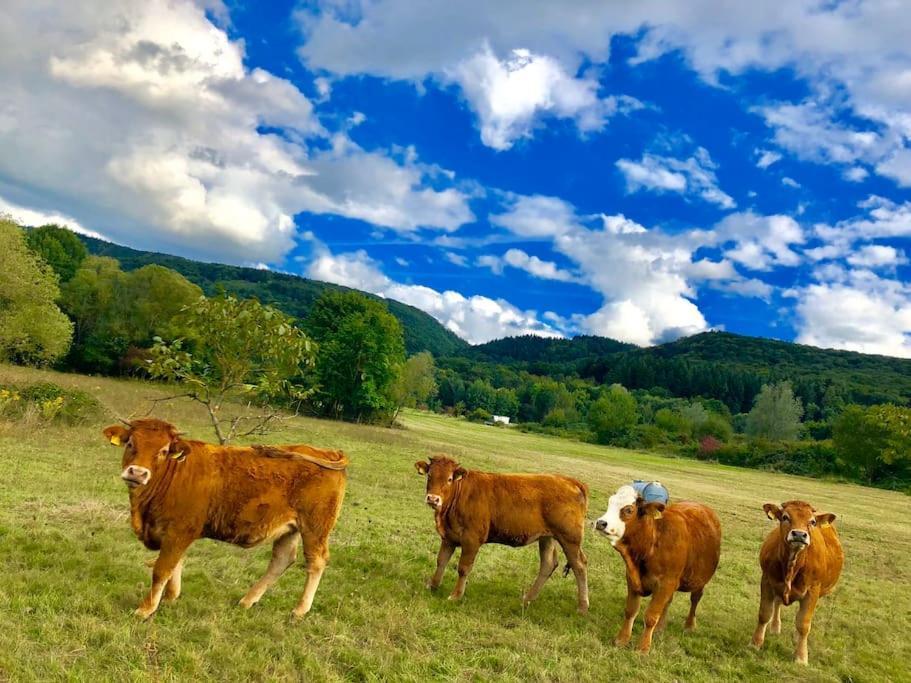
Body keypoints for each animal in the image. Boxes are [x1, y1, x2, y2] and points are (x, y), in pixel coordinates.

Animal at [101, 420, 348, 624]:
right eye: (130, 443)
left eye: (163, 451)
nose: (137, 473)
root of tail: (326, 452)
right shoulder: (172, 534)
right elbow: (175, 564)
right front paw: (171, 598)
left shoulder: (179, 531)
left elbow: (162, 569)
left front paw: (146, 609)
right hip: (291, 528)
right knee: (282, 559)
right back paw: (247, 601)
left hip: (315, 527)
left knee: (316, 562)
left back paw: (299, 610)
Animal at [416, 456, 592, 612]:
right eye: (430, 475)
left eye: (450, 479)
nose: (433, 499)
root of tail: (569, 480)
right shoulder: (448, 537)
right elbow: (441, 561)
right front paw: (432, 585)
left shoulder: (471, 539)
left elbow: (463, 568)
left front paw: (455, 596)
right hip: (547, 537)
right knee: (548, 564)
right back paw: (527, 599)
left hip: (570, 538)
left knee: (579, 565)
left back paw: (582, 607)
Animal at [596, 484, 724, 656]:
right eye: (610, 502)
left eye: (629, 510)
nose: (601, 523)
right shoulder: (632, 579)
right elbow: (630, 611)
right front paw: (621, 640)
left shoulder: (665, 583)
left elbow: (650, 616)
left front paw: (643, 648)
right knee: (668, 602)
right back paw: (660, 628)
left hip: (700, 580)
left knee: (695, 599)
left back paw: (689, 625)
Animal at [752, 500, 844, 664]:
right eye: (785, 517)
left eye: (812, 522)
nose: (800, 534)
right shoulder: (767, 581)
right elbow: (764, 613)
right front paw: (756, 643)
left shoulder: (813, 591)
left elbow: (804, 623)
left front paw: (801, 656)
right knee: (778, 603)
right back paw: (775, 627)